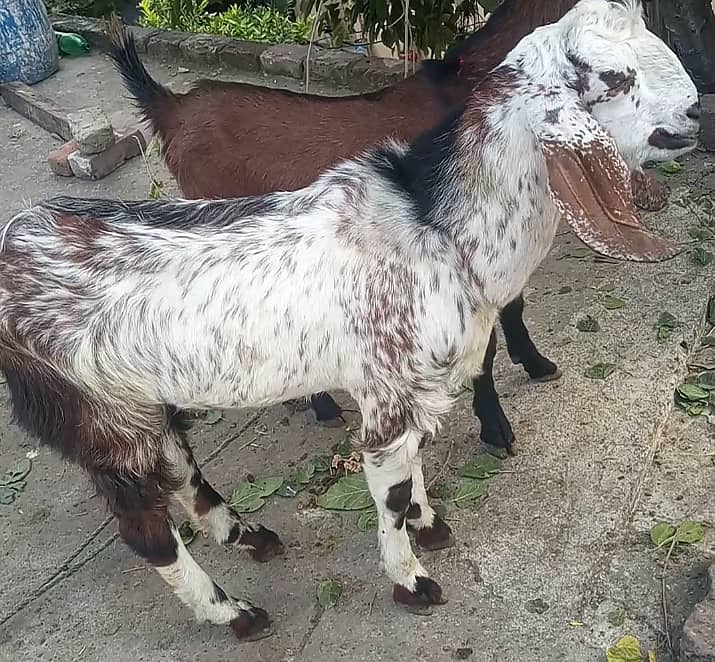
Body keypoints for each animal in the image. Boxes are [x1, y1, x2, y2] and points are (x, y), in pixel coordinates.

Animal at [0, 0, 700, 644]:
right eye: (609, 76)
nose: (698, 113)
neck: (436, 230)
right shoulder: (386, 395)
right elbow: (388, 494)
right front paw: (413, 580)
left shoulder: (412, 388)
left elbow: (413, 468)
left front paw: (429, 524)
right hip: (100, 416)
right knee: (146, 532)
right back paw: (237, 613)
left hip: (141, 404)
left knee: (179, 470)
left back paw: (250, 535)